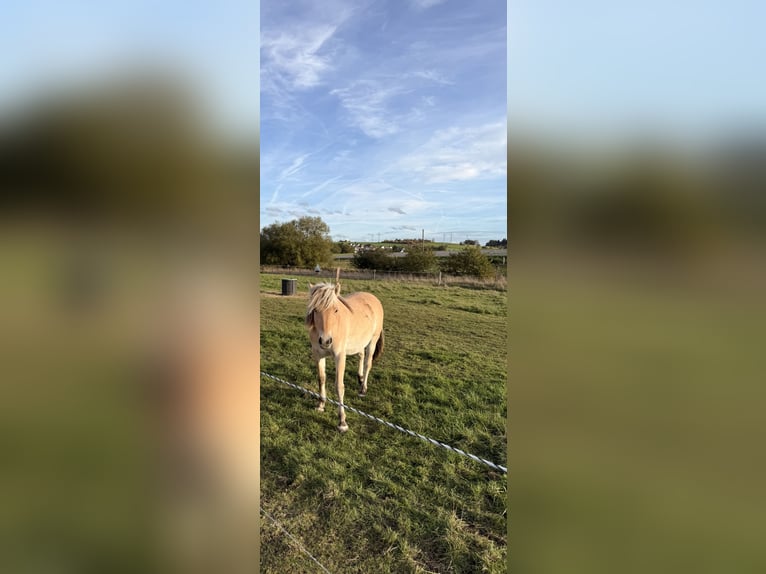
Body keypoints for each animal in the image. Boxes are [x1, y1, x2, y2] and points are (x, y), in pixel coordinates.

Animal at [305, 281, 384, 432]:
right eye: (315, 310)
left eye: (336, 310)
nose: (325, 341)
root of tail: (373, 298)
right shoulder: (318, 355)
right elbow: (321, 379)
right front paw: (321, 405)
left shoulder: (340, 356)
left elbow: (339, 386)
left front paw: (342, 421)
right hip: (360, 342)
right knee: (361, 355)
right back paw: (359, 378)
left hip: (372, 340)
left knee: (368, 363)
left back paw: (363, 388)